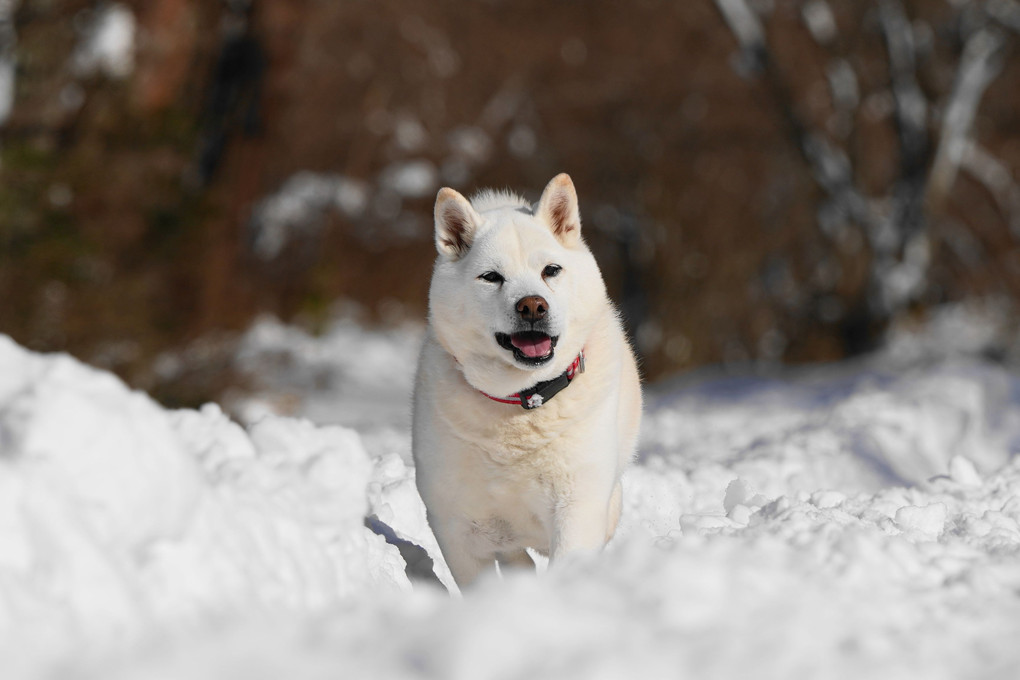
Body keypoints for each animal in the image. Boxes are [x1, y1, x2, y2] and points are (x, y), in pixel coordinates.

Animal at [410, 173, 640, 587]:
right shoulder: (457, 527)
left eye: (551, 270)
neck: (522, 400)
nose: (532, 305)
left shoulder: (577, 506)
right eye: (491, 277)